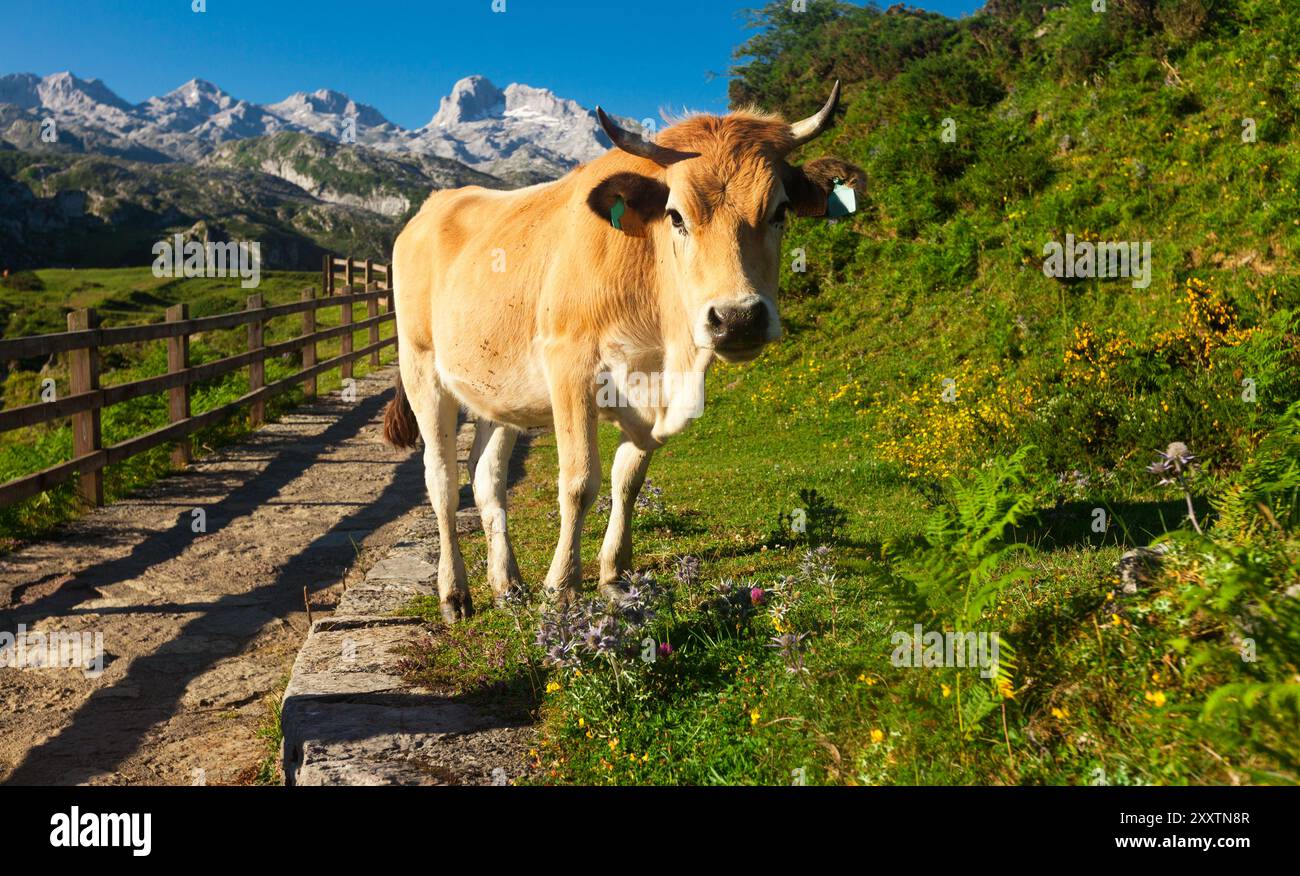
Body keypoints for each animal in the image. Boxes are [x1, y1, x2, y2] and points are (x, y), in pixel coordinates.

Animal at [384, 83, 864, 622]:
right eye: (676, 216)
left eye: (779, 211)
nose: (738, 318)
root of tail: (434, 206)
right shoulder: (569, 366)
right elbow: (580, 481)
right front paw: (563, 586)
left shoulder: (650, 393)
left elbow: (629, 478)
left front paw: (615, 576)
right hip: (422, 370)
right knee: (442, 481)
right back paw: (454, 593)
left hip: (498, 391)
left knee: (486, 478)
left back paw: (507, 584)